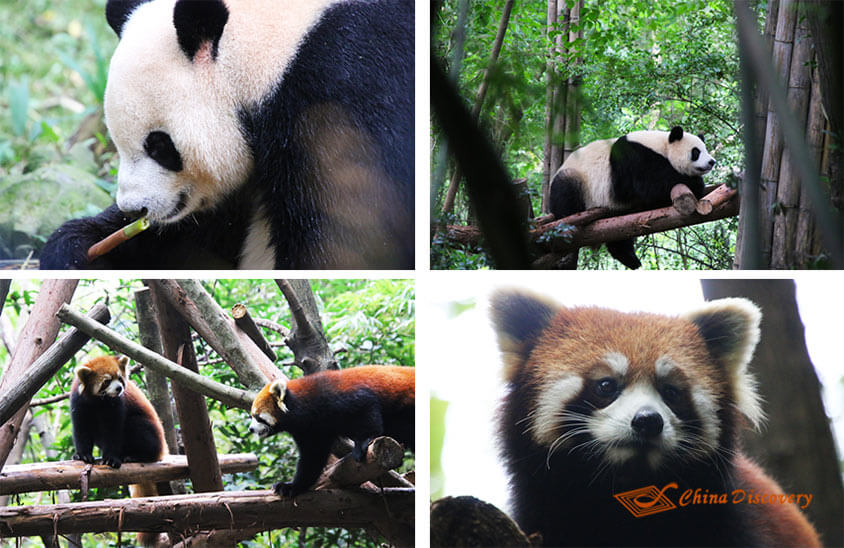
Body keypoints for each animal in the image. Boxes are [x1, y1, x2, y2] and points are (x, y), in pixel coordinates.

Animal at [39, 0, 416, 268]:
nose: (135, 210)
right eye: (117, 143)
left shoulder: (347, 85)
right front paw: (73, 248)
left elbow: (353, 234)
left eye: (159, 146)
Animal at [71, 354, 168, 544]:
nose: (119, 388)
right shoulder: (79, 403)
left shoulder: (117, 405)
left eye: (120, 378)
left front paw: (111, 458)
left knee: (135, 424)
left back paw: (135, 456)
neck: (99, 401)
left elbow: (114, 431)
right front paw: (83, 455)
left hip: (150, 435)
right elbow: (81, 429)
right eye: (106, 381)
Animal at [249, 366, 414, 498]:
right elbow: (312, 458)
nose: (251, 429)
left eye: (258, 417)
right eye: (253, 416)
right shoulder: (310, 430)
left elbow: (367, 409)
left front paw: (363, 443)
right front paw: (292, 486)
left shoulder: (344, 398)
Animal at [552, 124, 716, 270]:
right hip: (579, 181)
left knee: (618, 232)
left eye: (706, 149)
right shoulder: (634, 158)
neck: (661, 145)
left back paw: (629, 258)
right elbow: (651, 184)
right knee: (565, 191)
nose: (712, 161)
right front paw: (696, 183)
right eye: (696, 152)